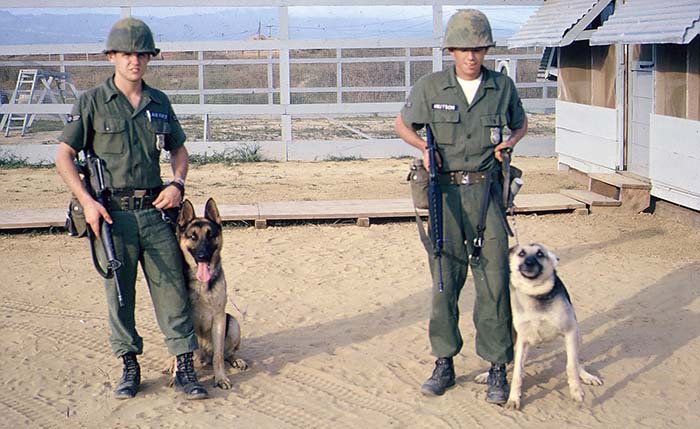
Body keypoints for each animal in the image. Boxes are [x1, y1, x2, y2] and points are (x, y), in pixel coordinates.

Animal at [165, 197, 247, 388]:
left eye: (210, 235)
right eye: (193, 237)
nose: (203, 256)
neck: (201, 285)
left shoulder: (219, 318)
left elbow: (218, 356)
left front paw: (221, 378)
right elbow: (181, 352)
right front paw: (176, 374)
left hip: (232, 323)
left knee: (226, 353)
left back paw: (236, 360)